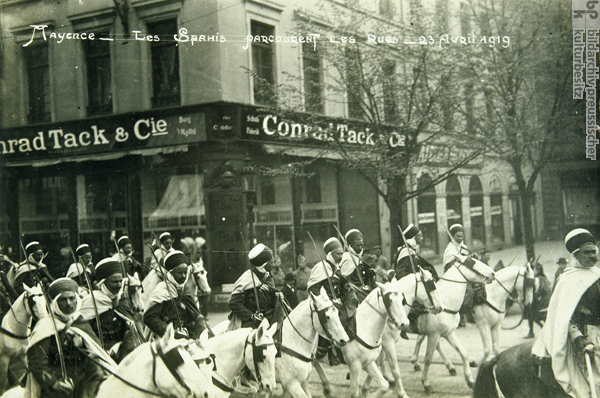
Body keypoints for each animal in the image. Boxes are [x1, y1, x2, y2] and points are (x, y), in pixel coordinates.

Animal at [408, 255, 496, 392]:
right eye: (473, 261)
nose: (493, 273)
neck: (445, 302)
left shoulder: (447, 333)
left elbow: (463, 353)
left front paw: (470, 380)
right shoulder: (433, 334)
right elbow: (428, 358)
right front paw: (426, 383)